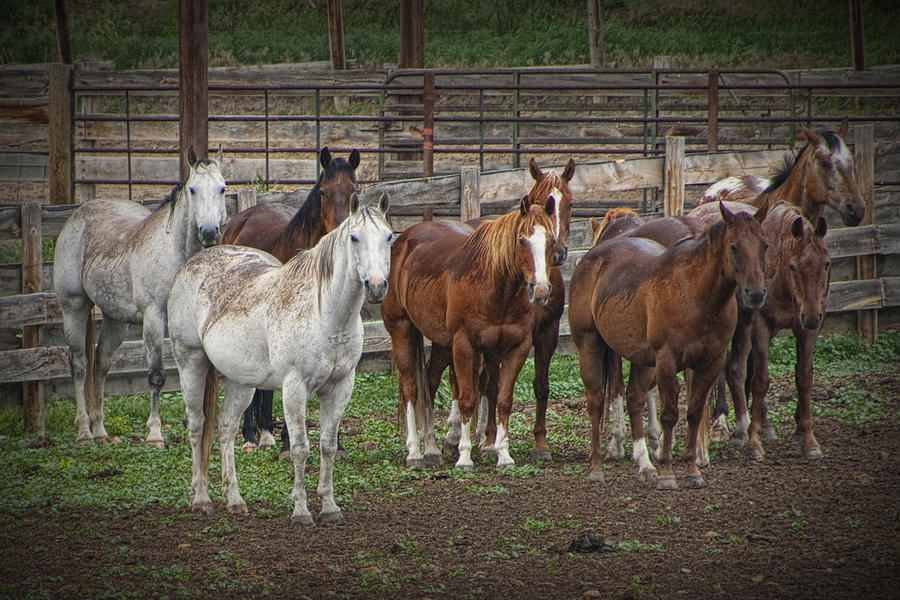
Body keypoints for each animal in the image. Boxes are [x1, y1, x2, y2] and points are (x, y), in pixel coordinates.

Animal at [169, 193, 394, 524]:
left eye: (389, 237)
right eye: (354, 238)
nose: (376, 287)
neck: (326, 314)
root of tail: (192, 265)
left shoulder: (341, 386)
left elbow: (328, 446)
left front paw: (330, 507)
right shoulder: (295, 387)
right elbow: (300, 448)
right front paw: (301, 511)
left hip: (241, 381)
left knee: (225, 427)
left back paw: (234, 500)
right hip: (191, 364)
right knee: (198, 425)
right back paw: (201, 498)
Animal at [221, 146, 358, 454]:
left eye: (355, 190)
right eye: (323, 192)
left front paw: (336, 442)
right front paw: (287, 441)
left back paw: (265, 431)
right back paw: (252, 434)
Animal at [384, 199, 560, 472]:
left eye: (551, 240)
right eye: (522, 240)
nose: (540, 289)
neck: (493, 285)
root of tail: (403, 242)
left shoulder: (516, 347)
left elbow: (503, 399)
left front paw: (504, 455)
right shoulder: (464, 345)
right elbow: (467, 399)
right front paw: (464, 456)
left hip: (441, 342)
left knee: (429, 385)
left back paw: (432, 449)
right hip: (402, 331)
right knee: (410, 389)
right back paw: (414, 452)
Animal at [568, 202, 768, 488]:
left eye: (765, 245)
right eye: (734, 246)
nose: (756, 293)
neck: (694, 292)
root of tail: (589, 258)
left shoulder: (711, 361)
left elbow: (694, 412)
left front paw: (691, 470)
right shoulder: (666, 360)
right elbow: (669, 414)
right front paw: (666, 472)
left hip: (641, 358)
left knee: (635, 398)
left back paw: (645, 464)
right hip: (590, 344)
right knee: (596, 401)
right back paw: (597, 467)